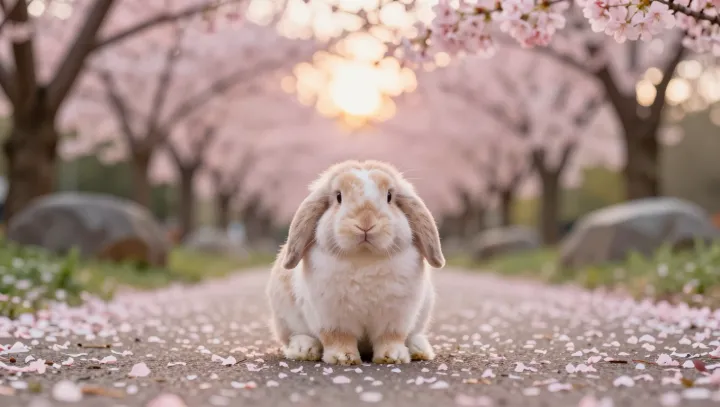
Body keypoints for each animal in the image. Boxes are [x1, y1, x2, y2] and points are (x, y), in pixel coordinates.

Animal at [266, 160, 445, 365]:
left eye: (389, 196)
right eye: (338, 197)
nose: (366, 222)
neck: (364, 259)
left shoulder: (396, 317)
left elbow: (390, 337)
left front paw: (393, 357)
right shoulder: (332, 317)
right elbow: (339, 337)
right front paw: (342, 358)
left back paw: (419, 349)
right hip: (285, 318)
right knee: (296, 335)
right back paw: (305, 350)